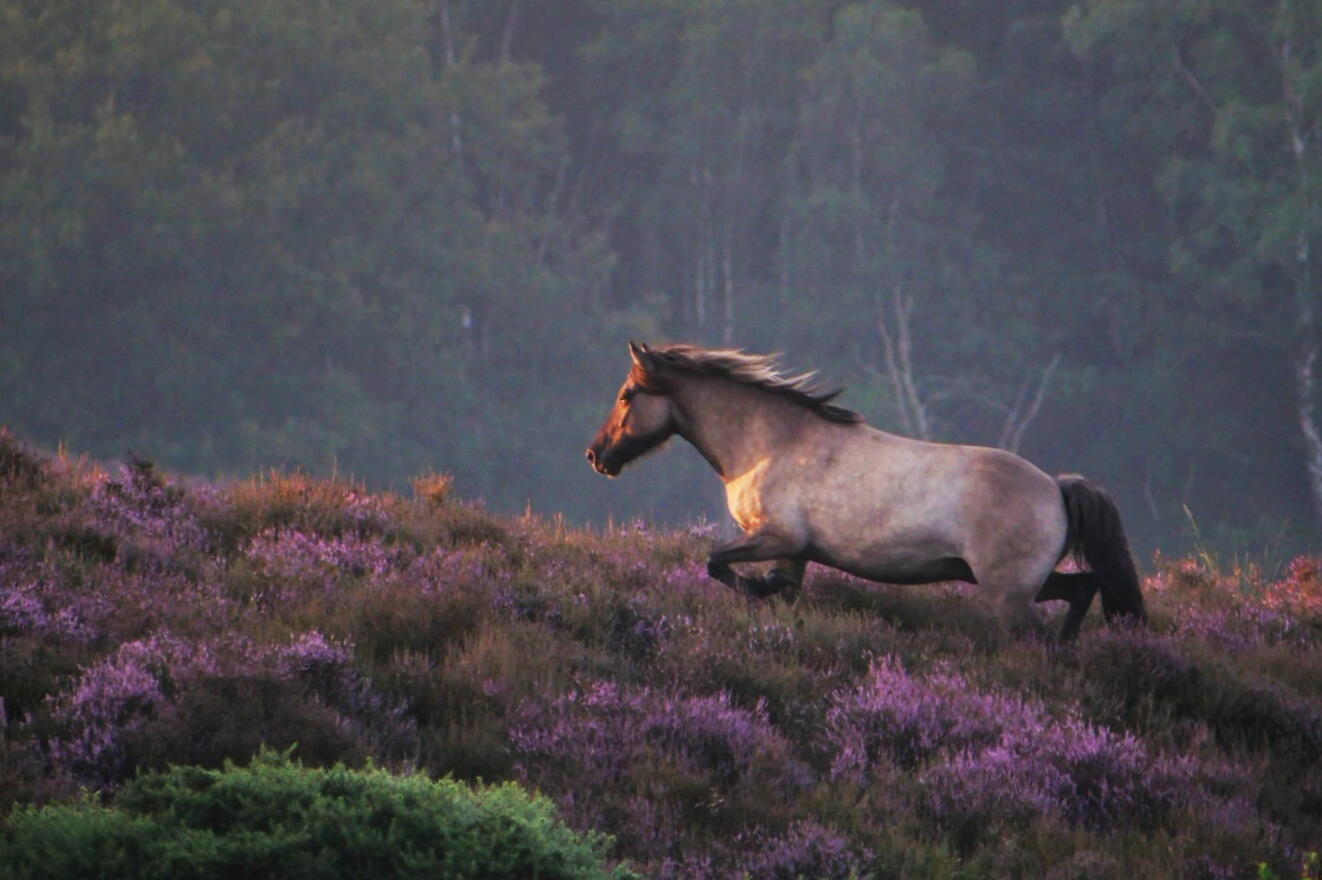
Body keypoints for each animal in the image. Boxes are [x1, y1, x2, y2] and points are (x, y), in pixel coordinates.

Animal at [585, 342, 1145, 641]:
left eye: (627, 395)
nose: (596, 456)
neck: (770, 442)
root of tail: (1055, 486)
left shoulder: (776, 537)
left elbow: (714, 561)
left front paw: (754, 590)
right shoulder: (795, 552)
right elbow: (779, 585)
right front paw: (770, 596)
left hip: (1007, 595)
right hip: (1015, 582)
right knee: (1084, 587)